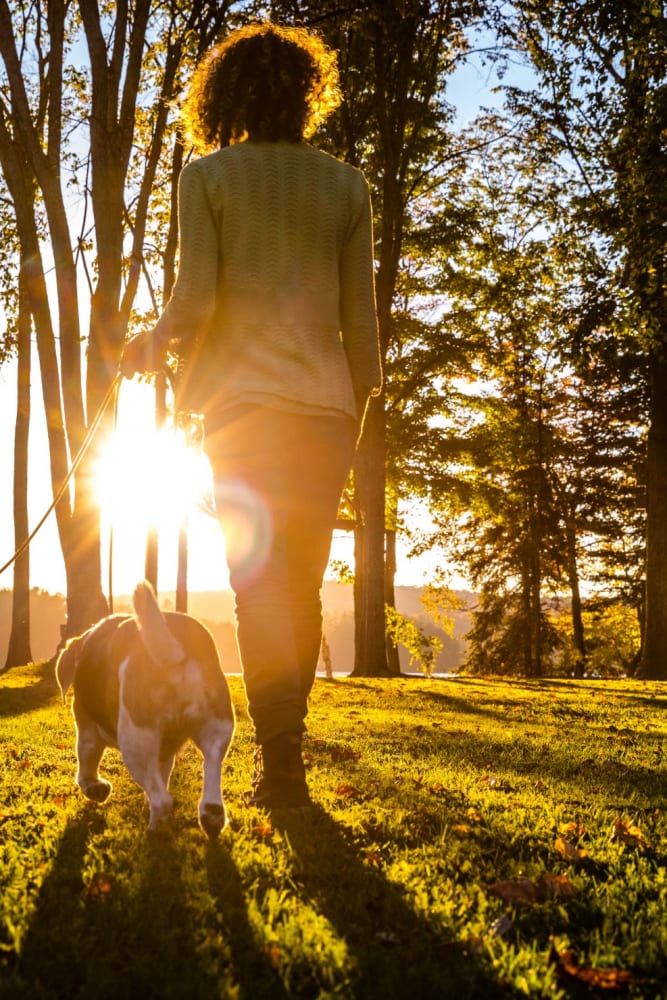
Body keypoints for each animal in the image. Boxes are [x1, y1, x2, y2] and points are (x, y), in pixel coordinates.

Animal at [56, 584, 236, 840]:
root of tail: (175, 649)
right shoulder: (164, 752)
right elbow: (162, 775)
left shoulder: (87, 729)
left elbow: (86, 764)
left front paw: (95, 787)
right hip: (217, 731)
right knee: (210, 770)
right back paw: (211, 817)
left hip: (135, 743)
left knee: (163, 800)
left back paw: (156, 830)